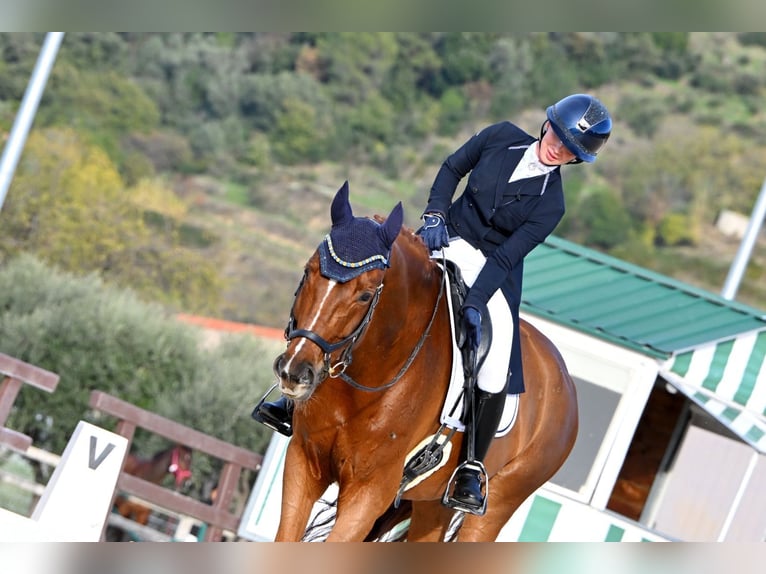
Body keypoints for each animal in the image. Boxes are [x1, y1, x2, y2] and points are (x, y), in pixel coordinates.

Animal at [272, 181, 578, 542]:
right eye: (308, 272)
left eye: (365, 295)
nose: (294, 372)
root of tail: (564, 378)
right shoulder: (302, 463)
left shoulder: (369, 491)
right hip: (432, 504)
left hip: (496, 505)